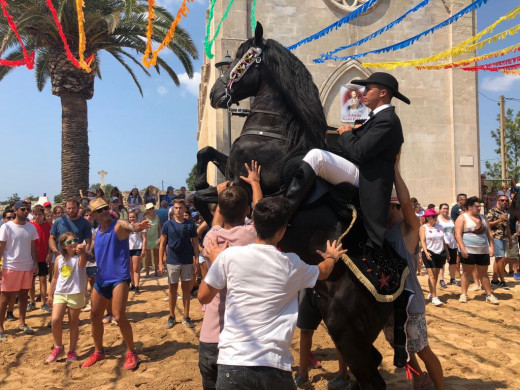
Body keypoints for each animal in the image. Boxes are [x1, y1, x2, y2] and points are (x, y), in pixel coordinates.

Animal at [195, 23, 394, 386]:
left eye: (243, 59)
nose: (217, 95)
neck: (271, 133)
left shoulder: (244, 188)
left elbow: (208, 196)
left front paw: (215, 232)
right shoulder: (232, 171)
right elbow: (204, 161)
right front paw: (206, 217)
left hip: (343, 325)